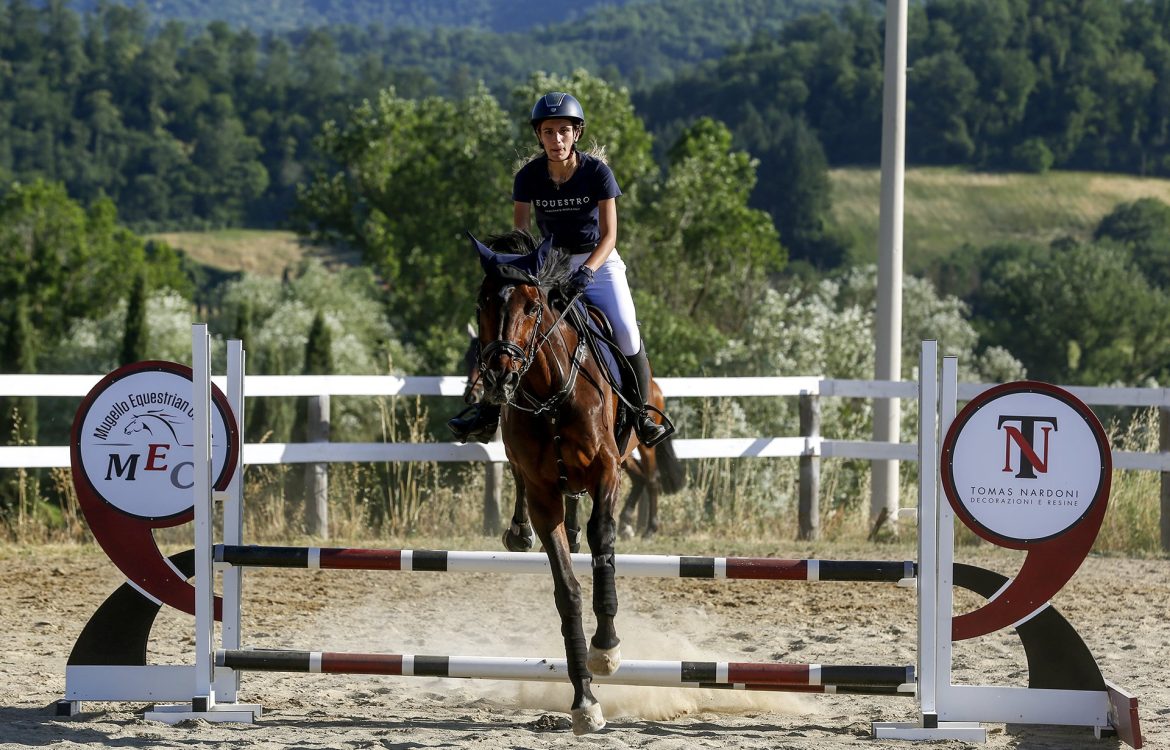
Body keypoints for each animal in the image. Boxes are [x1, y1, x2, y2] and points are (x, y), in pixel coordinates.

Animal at [458, 329, 683, 547]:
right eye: (468, 359)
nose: (473, 395)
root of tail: (656, 387)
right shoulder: (520, 451)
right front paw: (528, 533)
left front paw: (526, 533)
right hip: (620, 451)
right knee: (639, 476)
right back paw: (626, 524)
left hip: (641, 446)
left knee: (651, 478)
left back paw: (649, 529)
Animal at [470, 228, 650, 730]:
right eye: (482, 303)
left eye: (533, 306)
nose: (499, 376)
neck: (550, 393)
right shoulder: (543, 494)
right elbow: (567, 591)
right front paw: (584, 701)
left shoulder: (608, 470)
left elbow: (603, 543)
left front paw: (606, 650)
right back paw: (519, 532)